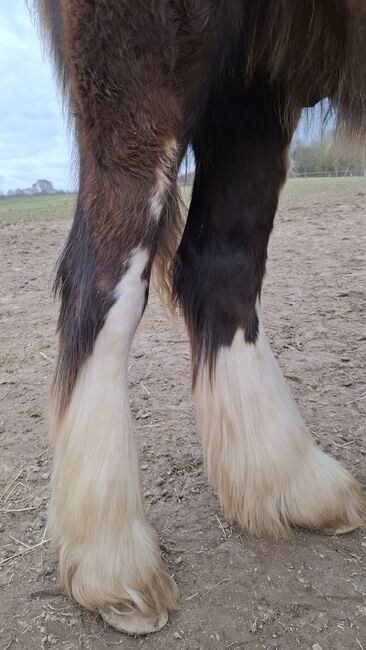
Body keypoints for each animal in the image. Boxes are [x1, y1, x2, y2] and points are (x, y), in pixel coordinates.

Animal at [33, 0, 364, 632]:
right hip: (147, 64)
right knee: (103, 275)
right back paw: (112, 558)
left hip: (256, 79)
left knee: (219, 263)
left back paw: (288, 480)